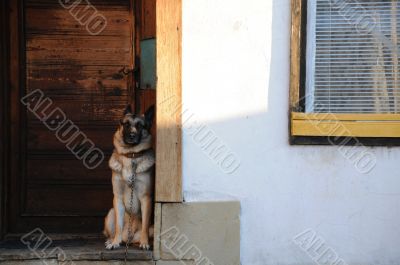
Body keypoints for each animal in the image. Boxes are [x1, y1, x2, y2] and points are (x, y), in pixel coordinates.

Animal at [104, 104, 155, 249]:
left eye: (140, 126)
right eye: (126, 124)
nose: (132, 136)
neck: (130, 156)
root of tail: (129, 238)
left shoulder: (146, 198)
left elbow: (145, 226)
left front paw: (144, 243)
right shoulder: (117, 198)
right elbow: (118, 225)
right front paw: (115, 242)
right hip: (110, 213)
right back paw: (113, 240)